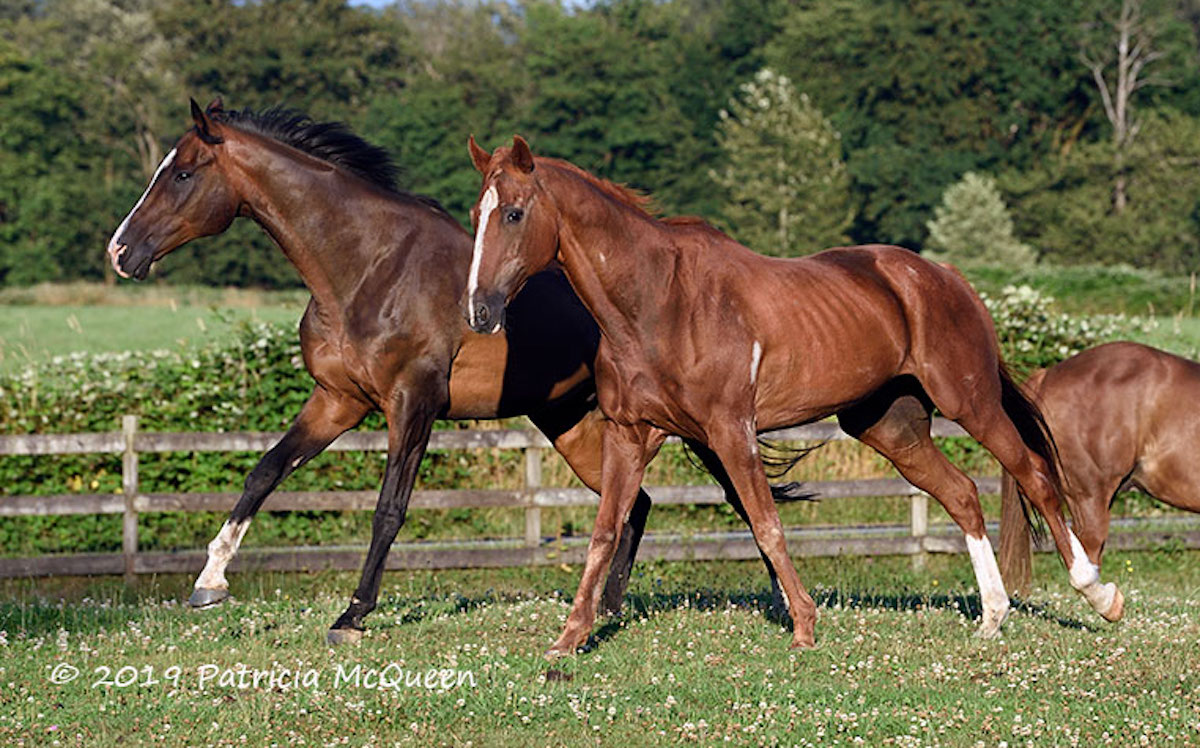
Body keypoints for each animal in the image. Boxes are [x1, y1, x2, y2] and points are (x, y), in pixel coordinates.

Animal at [105, 100, 748, 643]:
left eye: (183, 175)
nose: (120, 252)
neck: (370, 268)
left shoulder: (412, 403)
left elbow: (389, 508)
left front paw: (353, 615)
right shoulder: (336, 399)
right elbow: (263, 473)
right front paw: (208, 582)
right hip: (572, 422)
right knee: (634, 504)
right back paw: (608, 610)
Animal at [460, 136, 1123, 653]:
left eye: (513, 213)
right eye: (474, 214)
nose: (479, 311)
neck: (659, 303)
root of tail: (942, 277)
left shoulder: (732, 431)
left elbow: (766, 523)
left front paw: (803, 624)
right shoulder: (629, 436)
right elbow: (605, 531)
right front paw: (570, 637)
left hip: (972, 403)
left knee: (1034, 474)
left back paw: (1098, 593)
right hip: (891, 427)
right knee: (962, 494)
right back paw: (992, 616)